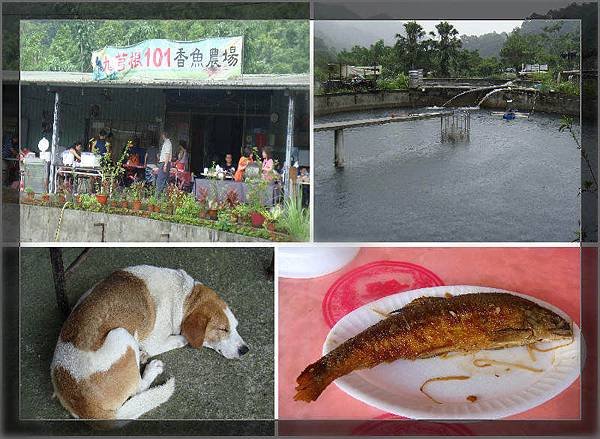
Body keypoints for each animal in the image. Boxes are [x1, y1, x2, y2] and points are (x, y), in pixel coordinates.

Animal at [49, 266, 248, 422]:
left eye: (235, 327)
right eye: (223, 329)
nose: (245, 350)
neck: (184, 296)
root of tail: (84, 405)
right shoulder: (154, 341)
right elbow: (180, 338)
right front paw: (181, 339)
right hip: (121, 334)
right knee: (138, 388)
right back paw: (151, 368)